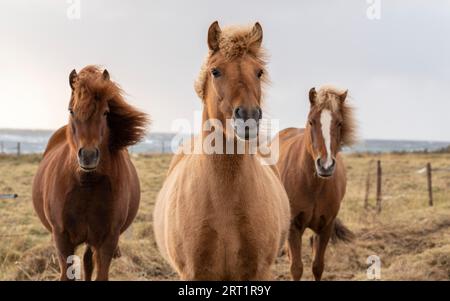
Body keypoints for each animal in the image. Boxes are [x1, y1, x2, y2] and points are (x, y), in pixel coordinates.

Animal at [32, 65, 148, 278]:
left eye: (105, 112)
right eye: (71, 110)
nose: (88, 155)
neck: (86, 184)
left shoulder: (107, 241)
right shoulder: (62, 239)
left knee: (87, 261)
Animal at [276, 85, 356, 280]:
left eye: (339, 123)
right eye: (311, 121)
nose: (325, 165)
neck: (312, 184)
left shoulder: (325, 227)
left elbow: (318, 266)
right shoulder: (294, 226)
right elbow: (296, 267)